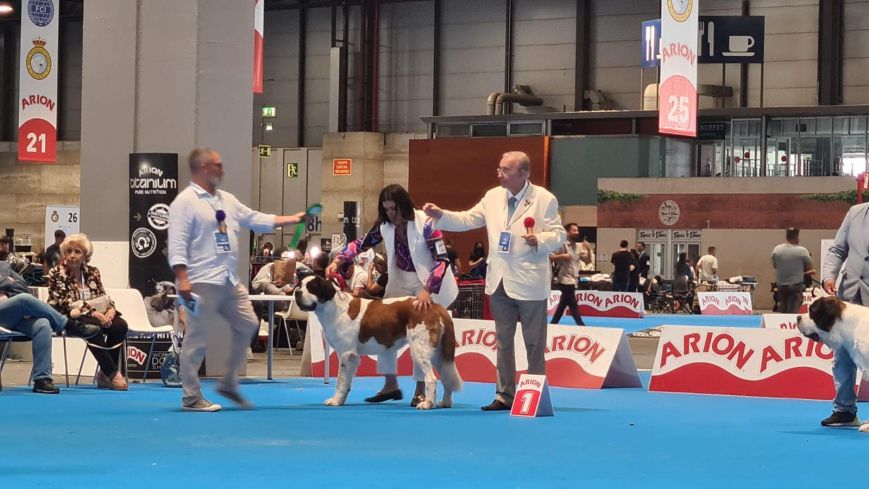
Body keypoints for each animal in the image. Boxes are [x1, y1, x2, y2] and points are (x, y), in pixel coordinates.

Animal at [294, 274, 462, 408]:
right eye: (300, 285)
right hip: (439, 353)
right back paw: (445, 402)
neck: (334, 308)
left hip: (420, 350)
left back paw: (426, 404)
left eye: (311, 287)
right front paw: (341, 400)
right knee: (446, 377)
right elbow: (346, 381)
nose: (297, 292)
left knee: (432, 379)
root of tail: (434, 306)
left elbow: (341, 379)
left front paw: (335, 400)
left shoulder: (347, 354)